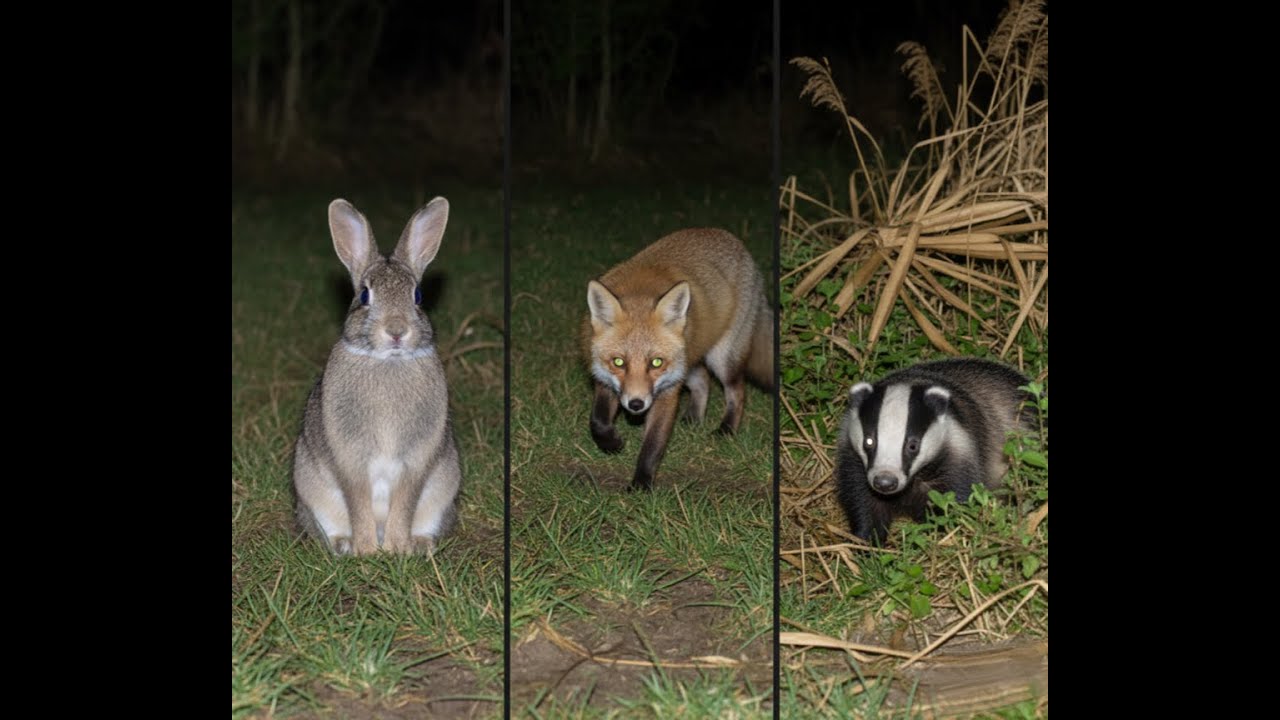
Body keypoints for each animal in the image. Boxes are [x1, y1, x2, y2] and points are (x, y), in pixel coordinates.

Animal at [292, 198, 461, 556]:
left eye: (418, 296)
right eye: (364, 296)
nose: (397, 331)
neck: (388, 361)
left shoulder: (416, 461)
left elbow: (405, 502)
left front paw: (397, 548)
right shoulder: (350, 459)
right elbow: (358, 502)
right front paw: (367, 550)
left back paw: (419, 544)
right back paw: (344, 545)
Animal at [584, 228, 774, 491]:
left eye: (656, 362)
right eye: (619, 362)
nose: (636, 404)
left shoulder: (667, 391)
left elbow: (653, 444)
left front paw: (642, 483)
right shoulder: (605, 380)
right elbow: (597, 420)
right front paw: (611, 443)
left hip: (721, 358)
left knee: (737, 391)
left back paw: (726, 430)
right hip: (689, 360)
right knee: (703, 381)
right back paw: (694, 418)